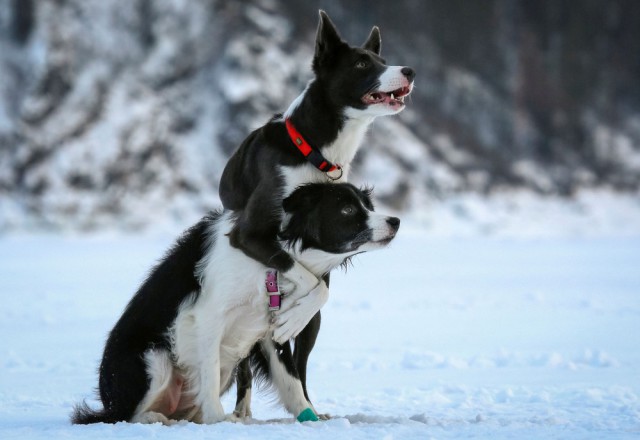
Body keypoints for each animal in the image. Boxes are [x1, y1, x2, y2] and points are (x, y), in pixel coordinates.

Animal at [220, 12, 416, 420]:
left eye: (383, 59)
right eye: (362, 64)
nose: (409, 70)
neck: (315, 151)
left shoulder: (326, 254)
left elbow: (320, 289)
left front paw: (293, 315)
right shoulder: (248, 235)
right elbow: (300, 273)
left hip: (314, 328)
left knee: (300, 361)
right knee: (244, 366)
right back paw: (242, 411)